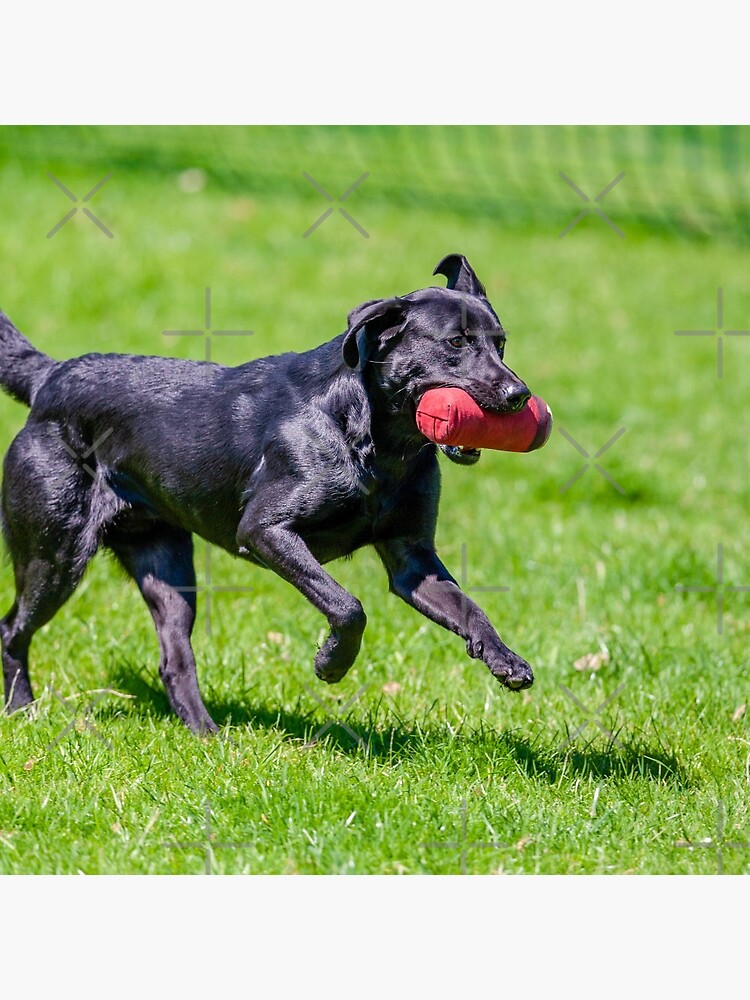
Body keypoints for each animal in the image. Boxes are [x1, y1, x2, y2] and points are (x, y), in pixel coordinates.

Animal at [2, 254, 536, 732]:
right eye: (456, 342)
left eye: (502, 344)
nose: (520, 396)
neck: (375, 443)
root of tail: (50, 378)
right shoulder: (265, 531)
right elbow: (347, 606)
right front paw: (331, 664)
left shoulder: (412, 559)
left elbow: (470, 609)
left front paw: (506, 660)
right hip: (55, 555)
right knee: (12, 630)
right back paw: (22, 711)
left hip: (166, 567)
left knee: (174, 661)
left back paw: (208, 737)